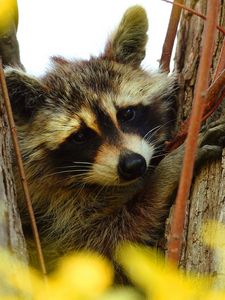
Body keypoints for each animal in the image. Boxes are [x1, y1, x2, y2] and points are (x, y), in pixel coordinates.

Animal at [5, 5, 223, 276]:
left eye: (127, 114)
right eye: (80, 136)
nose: (133, 165)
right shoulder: (48, 208)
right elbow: (100, 242)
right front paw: (168, 173)